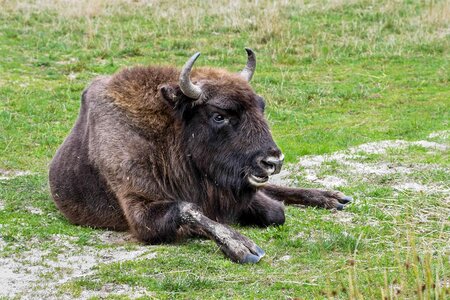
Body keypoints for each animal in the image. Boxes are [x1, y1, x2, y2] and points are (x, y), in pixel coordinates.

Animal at [49, 48, 352, 262]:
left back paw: (333, 198)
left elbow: (275, 212)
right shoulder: (140, 209)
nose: (272, 161)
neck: (168, 132)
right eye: (219, 116)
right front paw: (242, 247)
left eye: (261, 106)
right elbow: (190, 210)